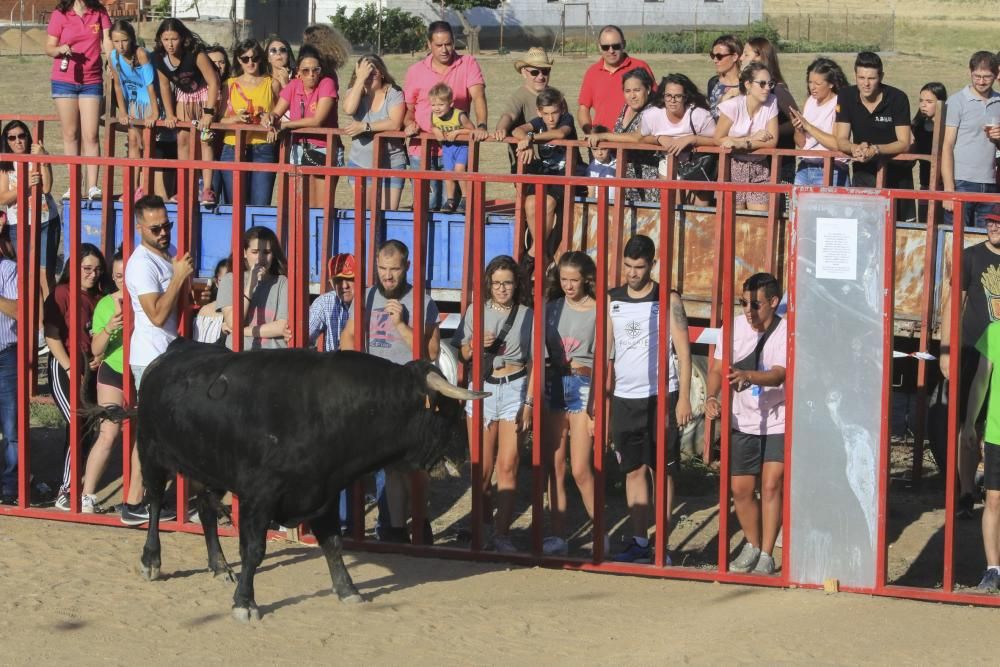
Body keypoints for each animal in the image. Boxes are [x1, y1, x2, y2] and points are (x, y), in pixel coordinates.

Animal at [88, 342, 486, 624]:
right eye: (450, 412)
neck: (328, 413)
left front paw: (348, 590)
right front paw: (245, 603)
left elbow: (334, 545)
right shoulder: (258, 498)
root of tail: (167, 357)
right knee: (155, 504)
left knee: (205, 509)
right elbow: (254, 550)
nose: (465, 457)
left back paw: (219, 566)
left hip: (209, 467)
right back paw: (152, 560)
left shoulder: (323, 493)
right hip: (152, 453)